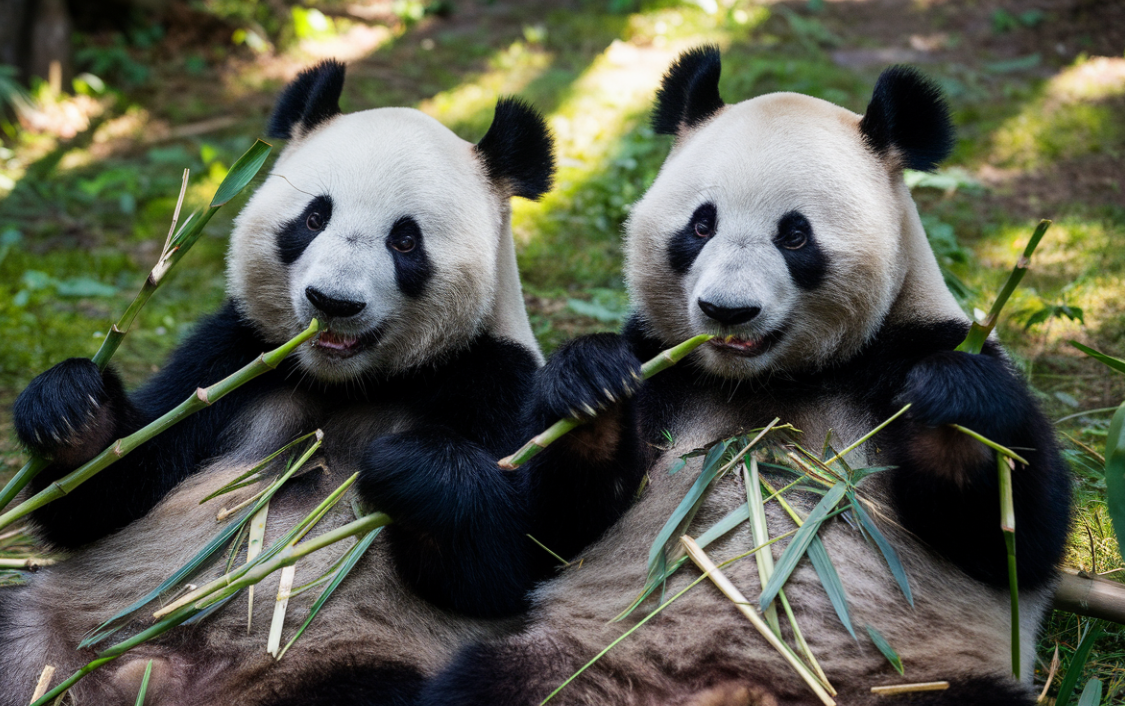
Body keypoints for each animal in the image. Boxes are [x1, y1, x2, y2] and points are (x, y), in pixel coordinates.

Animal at [0, 59, 571, 706]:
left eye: (405, 241)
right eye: (314, 217)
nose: (333, 302)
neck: (348, 381)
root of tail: (145, 677)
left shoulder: (495, 377)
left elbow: (511, 563)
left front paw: (412, 466)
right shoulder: (230, 355)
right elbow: (108, 495)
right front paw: (71, 411)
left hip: (343, 658)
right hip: (55, 628)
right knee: (18, 633)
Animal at [423, 46, 1071, 701]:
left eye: (795, 235)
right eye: (701, 226)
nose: (726, 310)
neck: (768, 378)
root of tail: (735, 685)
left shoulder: (907, 346)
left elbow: (1014, 539)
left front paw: (952, 402)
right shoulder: (664, 369)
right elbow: (551, 531)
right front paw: (591, 386)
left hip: (922, 683)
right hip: (580, 663)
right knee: (487, 682)